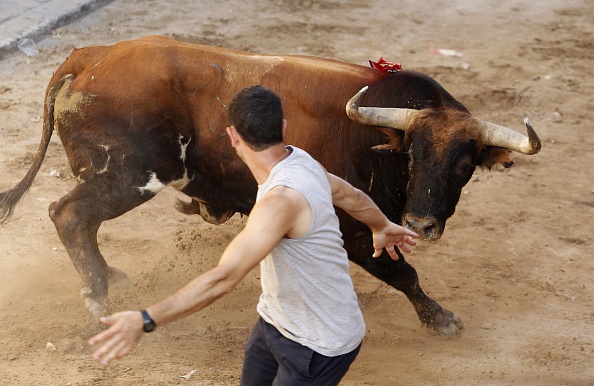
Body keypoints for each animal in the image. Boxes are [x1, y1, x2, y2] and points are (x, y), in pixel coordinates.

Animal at [0, 37, 536, 338]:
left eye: (464, 166)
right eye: (412, 155)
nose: (421, 224)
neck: (370, 138)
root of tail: (90, 56)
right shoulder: (353, 229)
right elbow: (403, 273)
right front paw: (439, 319)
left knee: (81, 221)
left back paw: (110, 279)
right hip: (129, 177)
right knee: (69, 215)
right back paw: (100, 294)